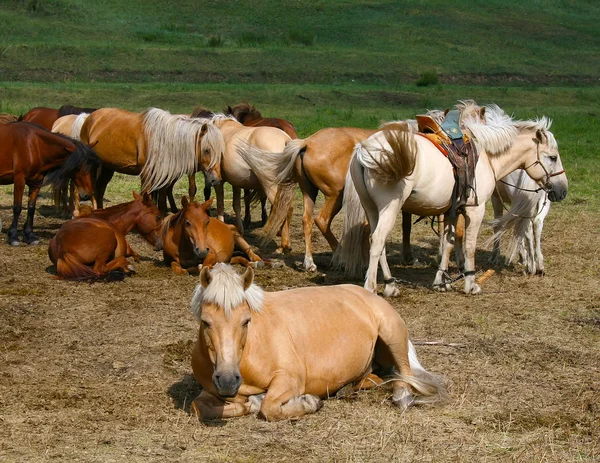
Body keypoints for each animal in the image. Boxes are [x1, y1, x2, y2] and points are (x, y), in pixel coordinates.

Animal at [79, 108, 225, 215]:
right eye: (206, 150)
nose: (216, 179)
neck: (163, 140)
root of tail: (91, 117)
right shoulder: (147, 174)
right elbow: (146, 196)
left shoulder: (163, 177)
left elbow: (161, 201)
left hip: (108, 168)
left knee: (99, 190)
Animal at [190, 262, 448, 422]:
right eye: (205, 322)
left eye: (246, 321)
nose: (227, 381)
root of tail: (366, 292)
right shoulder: (210, 390)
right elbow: (199, 407)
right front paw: (247, 403)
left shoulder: (290, 379)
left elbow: (269, 408)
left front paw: (309, 402)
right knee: (379, 376)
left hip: (392, 335)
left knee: (404, 372)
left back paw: (401, 397)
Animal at [338, 104, 568, 298]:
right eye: (553, 157)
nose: (562, 190)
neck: (486, 154)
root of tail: (364, 150)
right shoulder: (476, 209)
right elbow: (469, 245)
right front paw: (470, 283)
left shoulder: (453, 209)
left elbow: (448, 243)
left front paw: (442, 281)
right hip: (390, 206)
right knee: (377, 240)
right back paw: (371, 288)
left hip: (371, 207)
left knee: (378, 241)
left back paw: (391, 284)